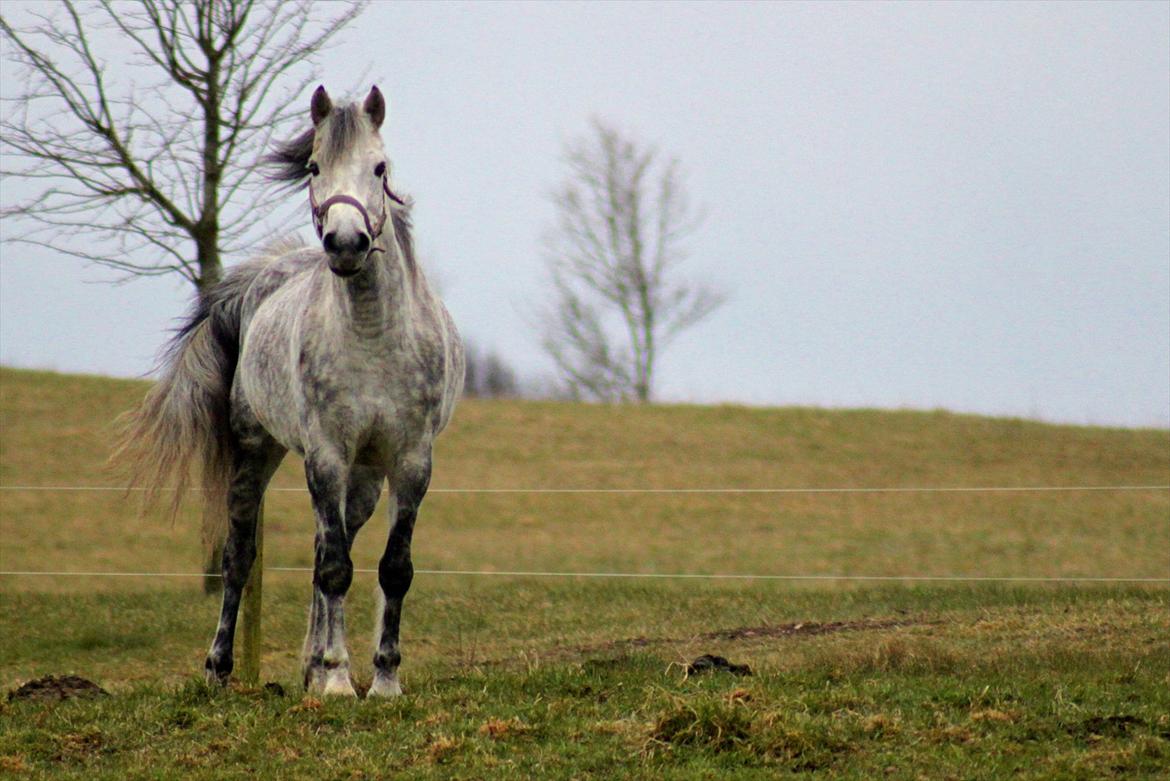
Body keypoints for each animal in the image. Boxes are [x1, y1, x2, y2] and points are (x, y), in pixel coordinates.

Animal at [116, 88, 463, 696]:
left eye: (380, 168)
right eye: (315, 167)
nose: (345, 244)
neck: (374, 335)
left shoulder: (411, 460)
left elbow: (390, 568)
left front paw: (383, 681)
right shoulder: (324, 455)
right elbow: (334, 569)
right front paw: (337, 681)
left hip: (363, 477)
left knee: (331, 546)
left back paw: (310, 667)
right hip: (257, 452)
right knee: (241, 556)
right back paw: (222, 669)